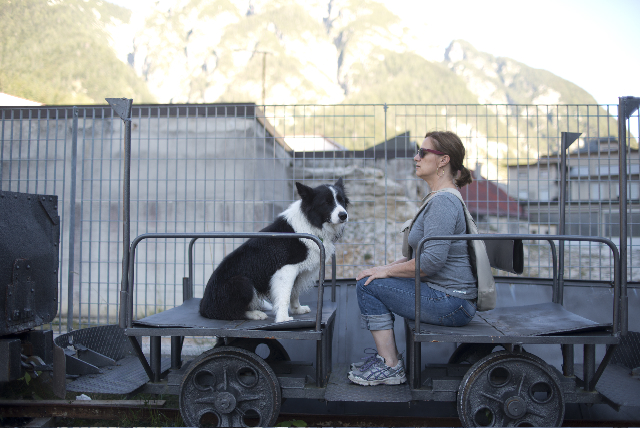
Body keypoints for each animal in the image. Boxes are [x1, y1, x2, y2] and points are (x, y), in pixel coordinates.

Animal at [200, 179, 350, 322]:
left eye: (341, 200)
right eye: (326, 203)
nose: (343, 215)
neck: (311, 223)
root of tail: (203, 307)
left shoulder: (296, 272)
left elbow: (294, 292)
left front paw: (297, 309)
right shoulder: (286, 269)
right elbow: (285, 295)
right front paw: (283, 318)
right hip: (241, 283)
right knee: (232, 312)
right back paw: (255, 314)